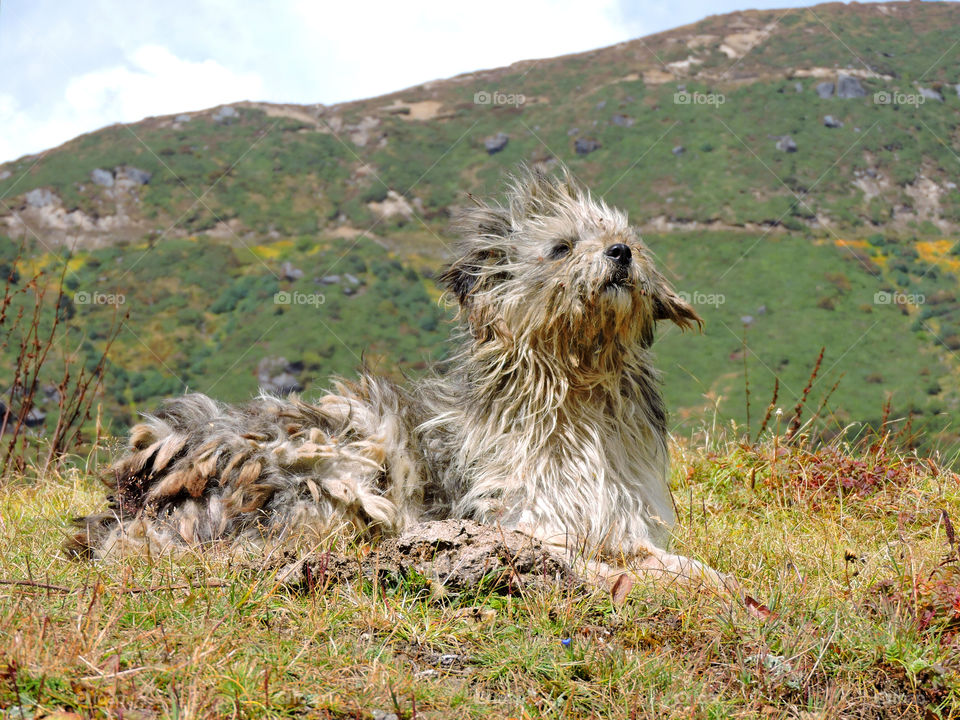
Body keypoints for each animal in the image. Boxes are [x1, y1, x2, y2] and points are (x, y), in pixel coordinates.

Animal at [71, 166, 724, 588]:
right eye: (562, 248)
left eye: (628, 239)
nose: (621, 253)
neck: (575, 386)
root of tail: (139, 485)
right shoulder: (521, 518)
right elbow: (586, 561)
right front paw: (628, 580)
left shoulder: (618, 513)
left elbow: (669, 560)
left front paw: (705, 577)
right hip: (338, 459)